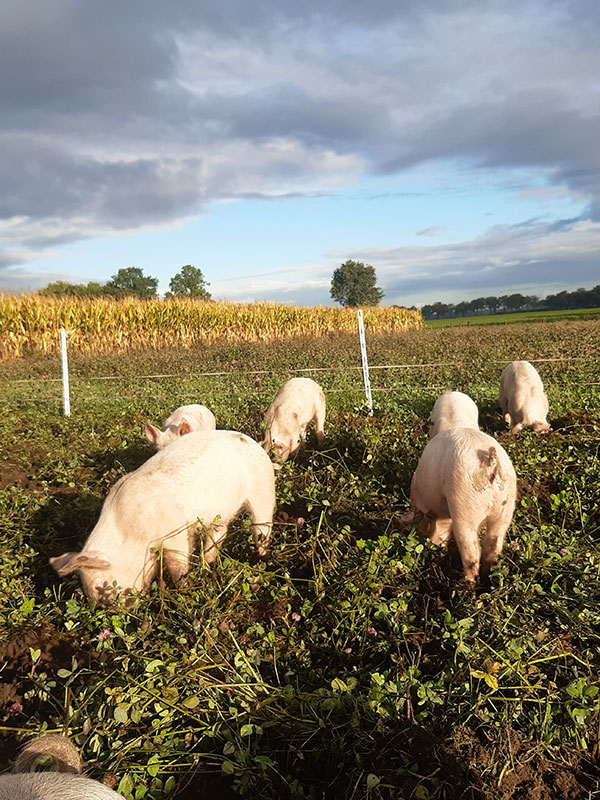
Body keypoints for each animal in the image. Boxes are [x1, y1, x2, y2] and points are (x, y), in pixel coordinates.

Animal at [50, 432, 276, 600]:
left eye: (101, 585)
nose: (113, 609)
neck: (131, 531)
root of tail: (253, 442)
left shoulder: (176, 531)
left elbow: (177, 564)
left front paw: (184, 589)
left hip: (264, 489)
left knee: (262, 527)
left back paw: (262, 559)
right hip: (221, 513)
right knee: (219, 533)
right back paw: (209, 565)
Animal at [410, 428, 516, 584]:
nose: (434, 544)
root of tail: (491, 461)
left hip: (465, 503)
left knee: (471, 554)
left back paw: (468, 582)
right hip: (506, 507)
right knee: (493, 545)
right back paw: (487, 578)